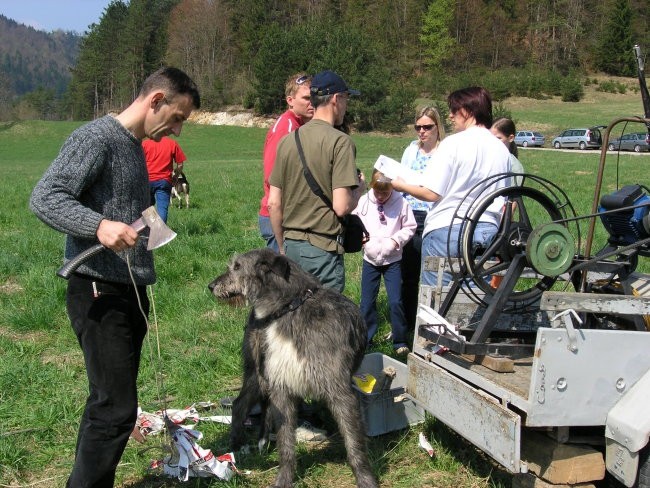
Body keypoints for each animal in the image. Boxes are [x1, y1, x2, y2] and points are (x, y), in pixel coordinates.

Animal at [208, 250, 378, 488]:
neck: (290, 309)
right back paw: (236, 445)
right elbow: (286, 445)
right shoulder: (282, 387)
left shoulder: (340, 391)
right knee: (239, 404)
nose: (211, 286)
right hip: (257, 373)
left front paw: (365, 480)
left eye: (238, 267)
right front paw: (284, 479)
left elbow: (354, 445)